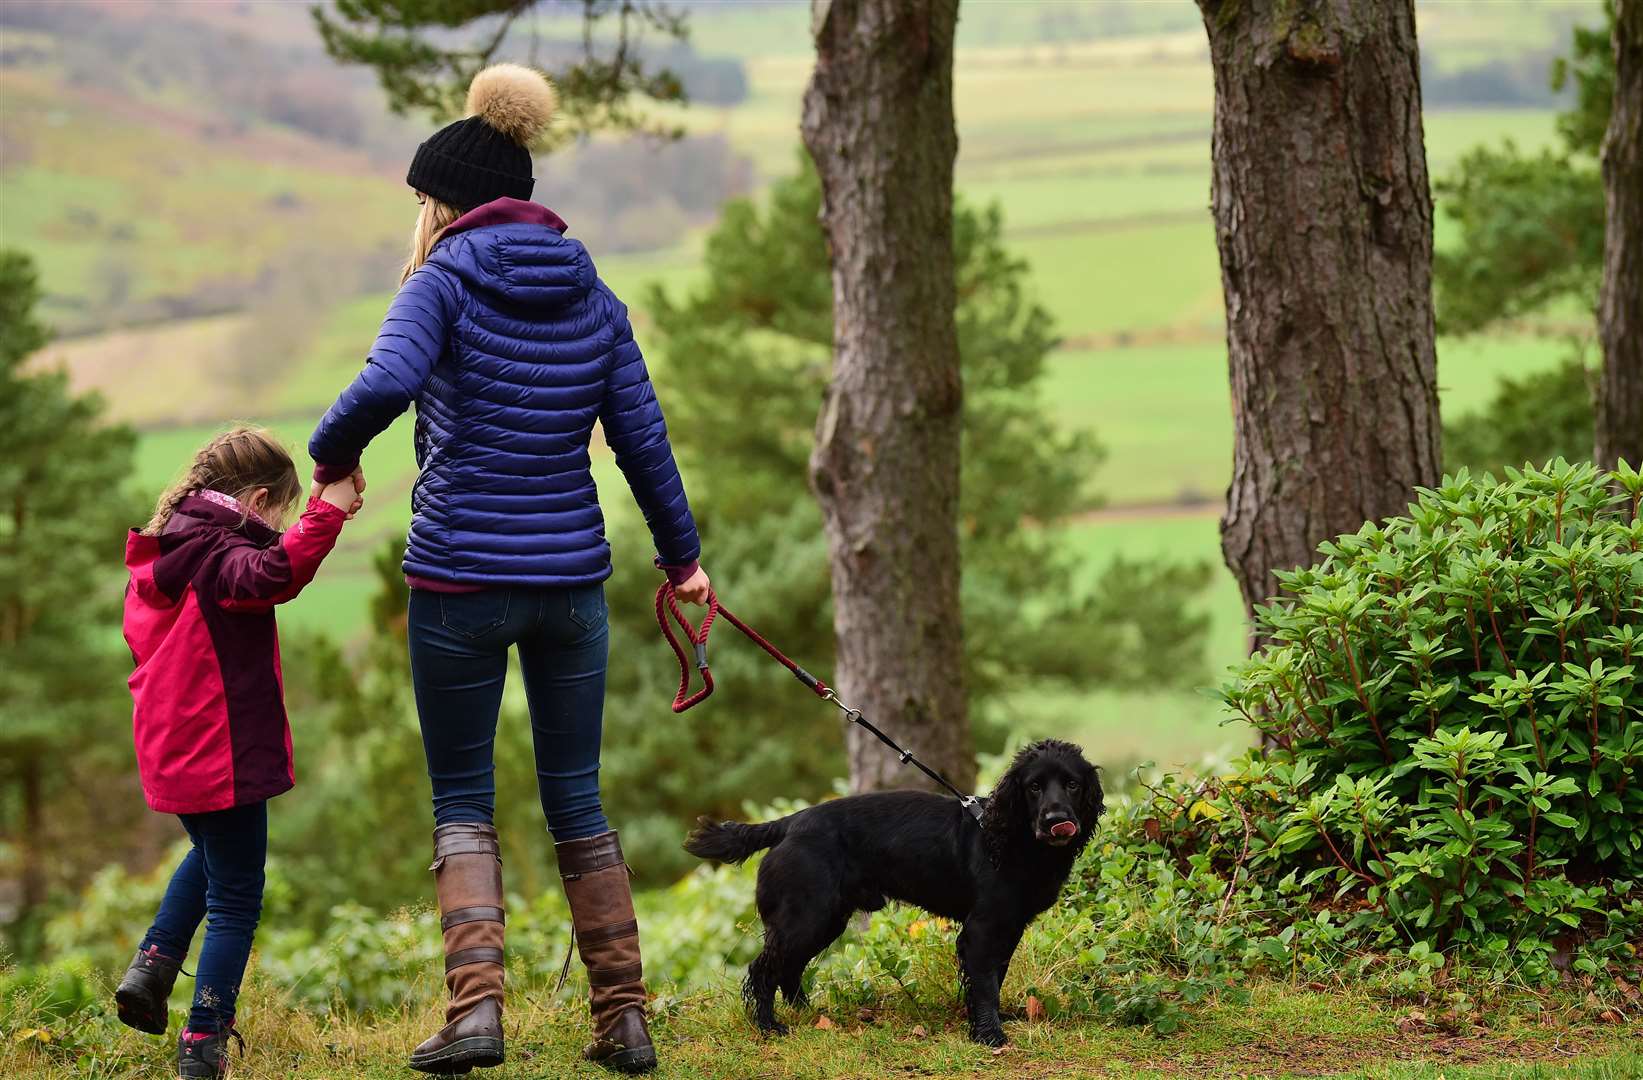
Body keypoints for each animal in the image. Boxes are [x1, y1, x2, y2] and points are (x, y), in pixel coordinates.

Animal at [680, 736, 1104, 1038]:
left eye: (1072, 784)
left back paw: (806, 1014)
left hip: (825, 919)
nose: (1056, 820)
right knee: (764, 968)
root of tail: (789, 823)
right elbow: (984, 982)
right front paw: (988, 1034)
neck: (1014, 840)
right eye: (1034, 787)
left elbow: (994, 977)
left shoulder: (1009, 926)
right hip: (806, 916)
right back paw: (769, 1026)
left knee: (789, 967)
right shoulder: (982, 928)